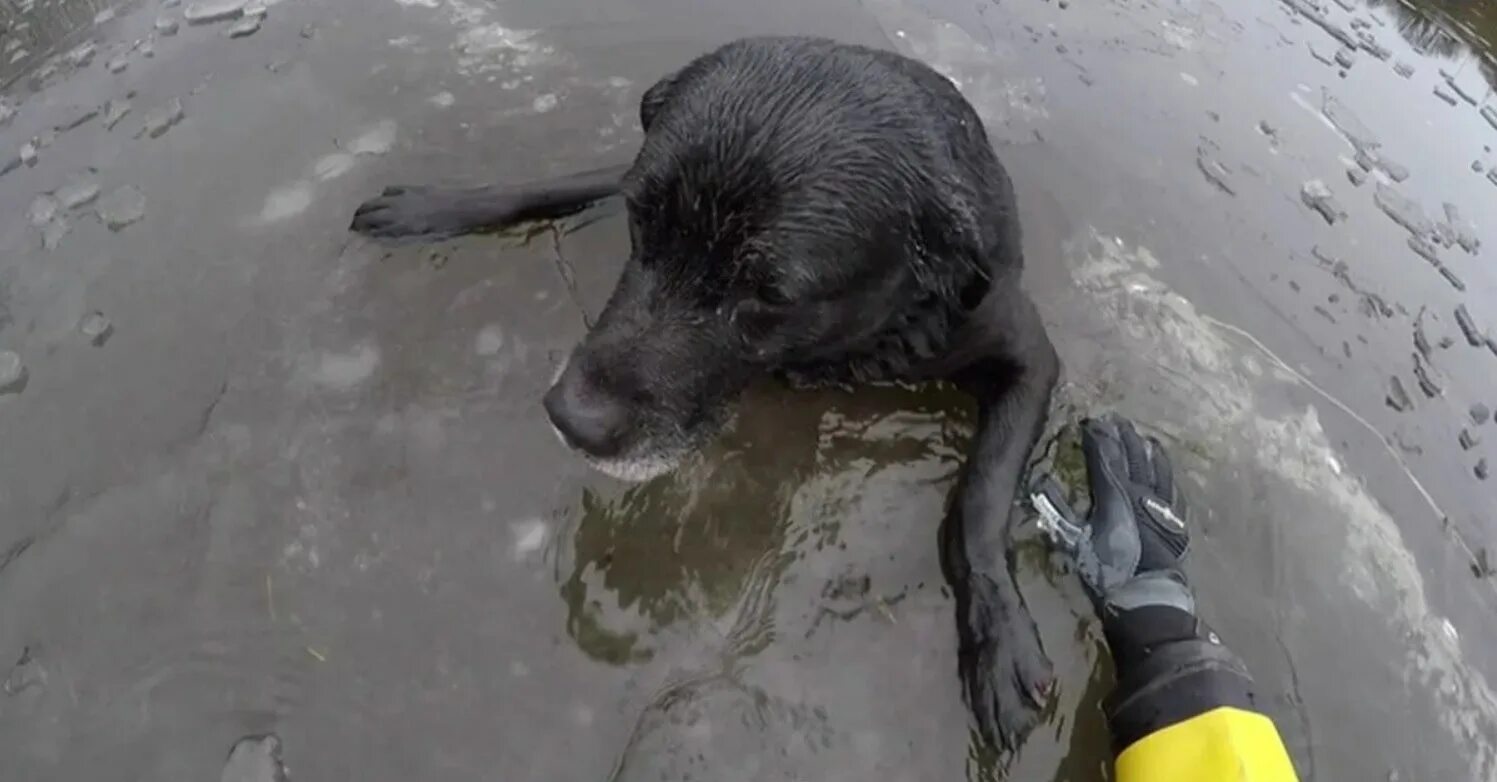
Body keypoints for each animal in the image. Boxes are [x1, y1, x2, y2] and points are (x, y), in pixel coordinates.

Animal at [350, 36, 1059, 749]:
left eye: (770, 294)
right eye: (640, 223)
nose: (572, 419)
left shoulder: (1026, 354)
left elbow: (980, 501)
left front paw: (997, 634)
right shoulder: (633, 177)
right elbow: (555, 182)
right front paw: (433, 207)